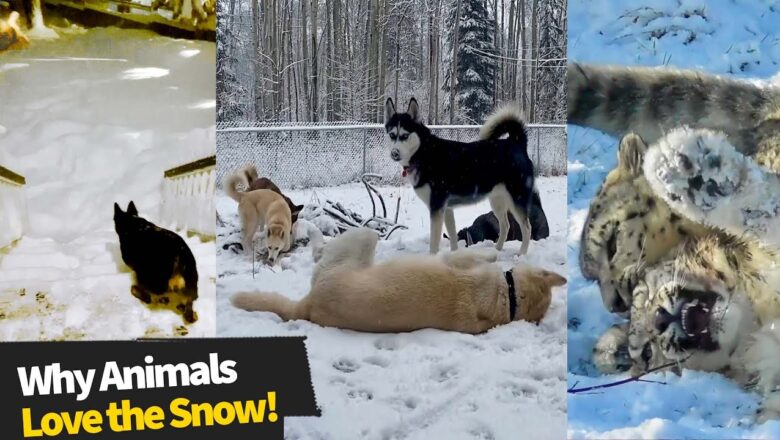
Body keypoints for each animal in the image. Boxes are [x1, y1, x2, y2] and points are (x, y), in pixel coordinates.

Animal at [232, 227, 568, 334]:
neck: (508, 298)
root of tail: (308, 306)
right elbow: (493, 254)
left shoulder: (456, 262)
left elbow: (486, 255)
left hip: (360, 242)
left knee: (320, 250)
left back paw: (312, 231)